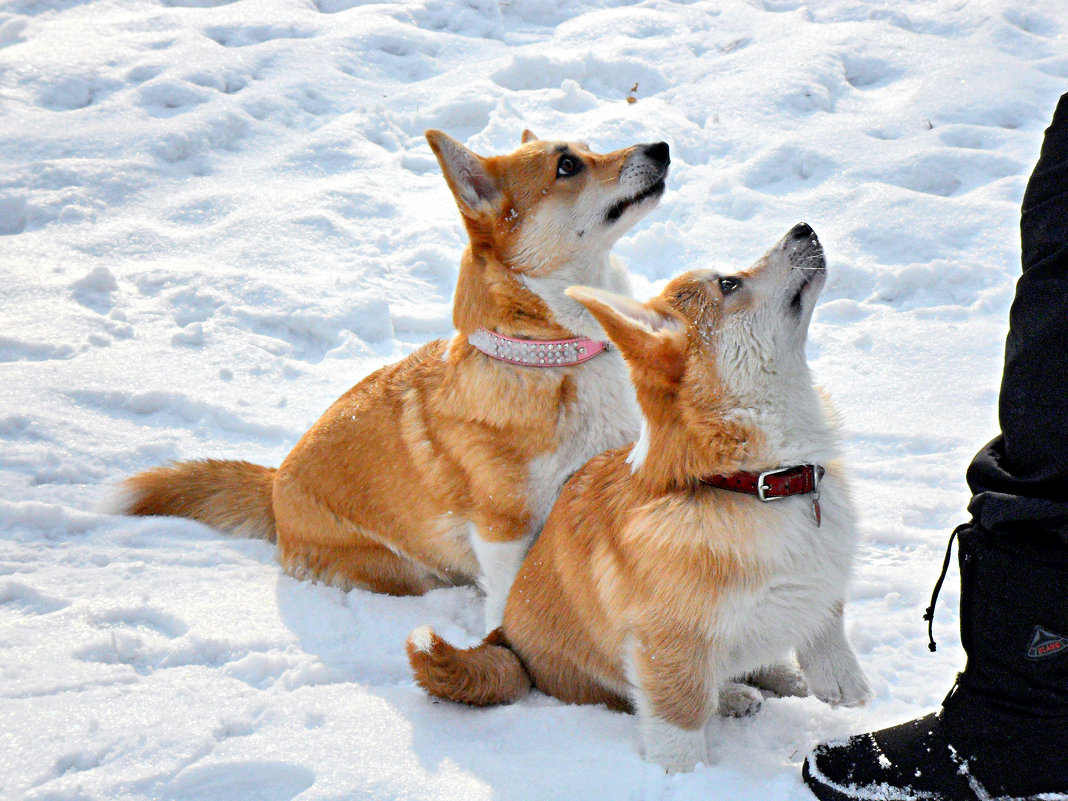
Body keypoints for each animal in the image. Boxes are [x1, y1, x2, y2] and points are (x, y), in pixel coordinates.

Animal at [116, 130, 666, 632]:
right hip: (397, 568)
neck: (552, 356)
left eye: (589, 147)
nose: (661, 146)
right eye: (567, 165)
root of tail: (273, 489)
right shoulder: (504, 529)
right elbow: (511, 603)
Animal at [403, 224, 871, 773]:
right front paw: (685, 776)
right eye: (729, 284)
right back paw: (734, 695)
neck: (752, 481)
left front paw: (839, 680)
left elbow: (827, 618)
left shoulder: (818, 576)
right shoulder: (666, 642)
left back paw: (774, 678)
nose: (804, 228)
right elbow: (678, 717)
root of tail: (504, 640)